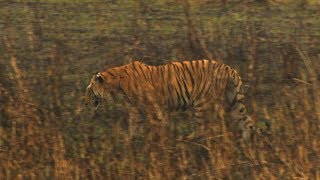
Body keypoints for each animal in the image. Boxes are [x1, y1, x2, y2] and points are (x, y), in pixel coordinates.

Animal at [85, 59, 255, 140]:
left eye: (89, 90)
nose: (85, 103)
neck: (116, 86)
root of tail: (229, 68)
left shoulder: (152, 107)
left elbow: (156, 124)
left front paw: (157, 140)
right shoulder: (134, 109)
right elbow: (134, 125)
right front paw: (129, 140)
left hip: (202, 103)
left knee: (206, 127)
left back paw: (187, 139)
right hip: (233, 101)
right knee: (246, 122)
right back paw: (246, 144)